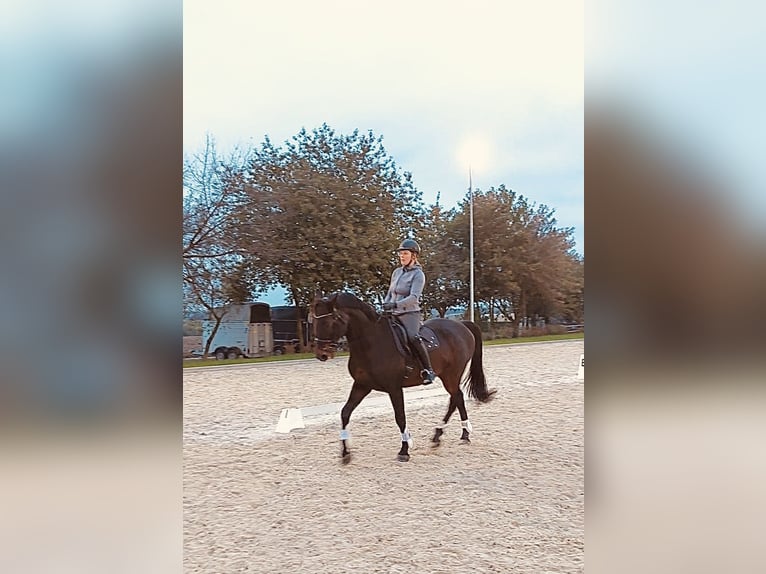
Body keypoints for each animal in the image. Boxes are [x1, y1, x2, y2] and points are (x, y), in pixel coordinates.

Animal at [312, 292, 498, 464]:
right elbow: (345, 413)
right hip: (448, 375)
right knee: (456, 398)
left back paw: (457, 433)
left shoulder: (394, 387)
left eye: (330, 321)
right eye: (314, 321)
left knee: (456, 397)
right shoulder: (361, 385)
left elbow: (400, 417)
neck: (371, 342)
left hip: (451, 374)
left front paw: (404, 449)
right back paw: (445, 435)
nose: (322, 354)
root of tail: (461, 325)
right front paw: (345, 453)